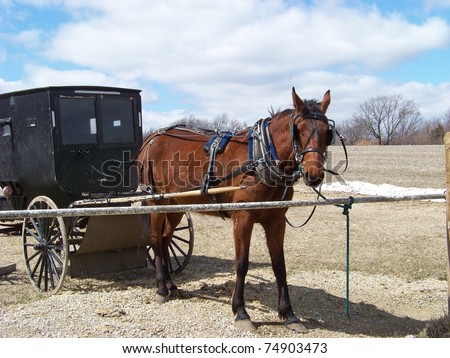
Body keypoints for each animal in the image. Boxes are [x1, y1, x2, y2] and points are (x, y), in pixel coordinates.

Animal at [137, 87, 334, 332]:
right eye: (298, 130)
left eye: (328, 132)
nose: (314, 175)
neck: (261, 156)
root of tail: (152, 138)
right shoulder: (243, 218)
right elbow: (241, 264)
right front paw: (241, 311)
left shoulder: (276, 220)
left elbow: (279, 265)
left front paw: (289, 314)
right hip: (157, 202)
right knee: (155, 239)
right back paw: (162, 288)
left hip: (177, 205)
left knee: (165, 240)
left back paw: (172, 285)